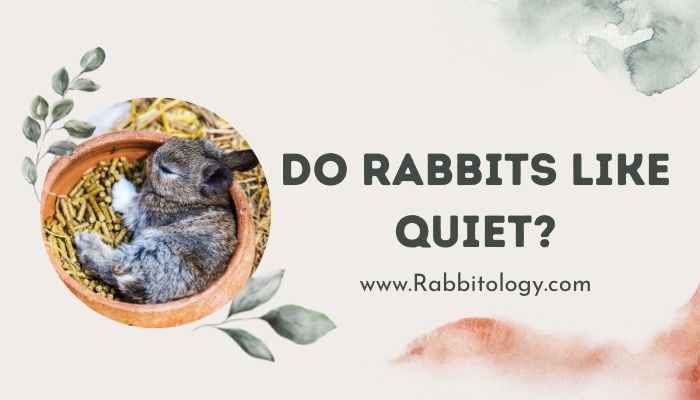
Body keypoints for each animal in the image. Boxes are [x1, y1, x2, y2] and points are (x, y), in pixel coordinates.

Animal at [74, 138, 259, 304]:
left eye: (167, 169)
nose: (149, 159)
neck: (187, 198)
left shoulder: (142, 212)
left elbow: (129, 205)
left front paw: (120, 186)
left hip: (153, 248)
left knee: (115, 265)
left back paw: (85, 241)